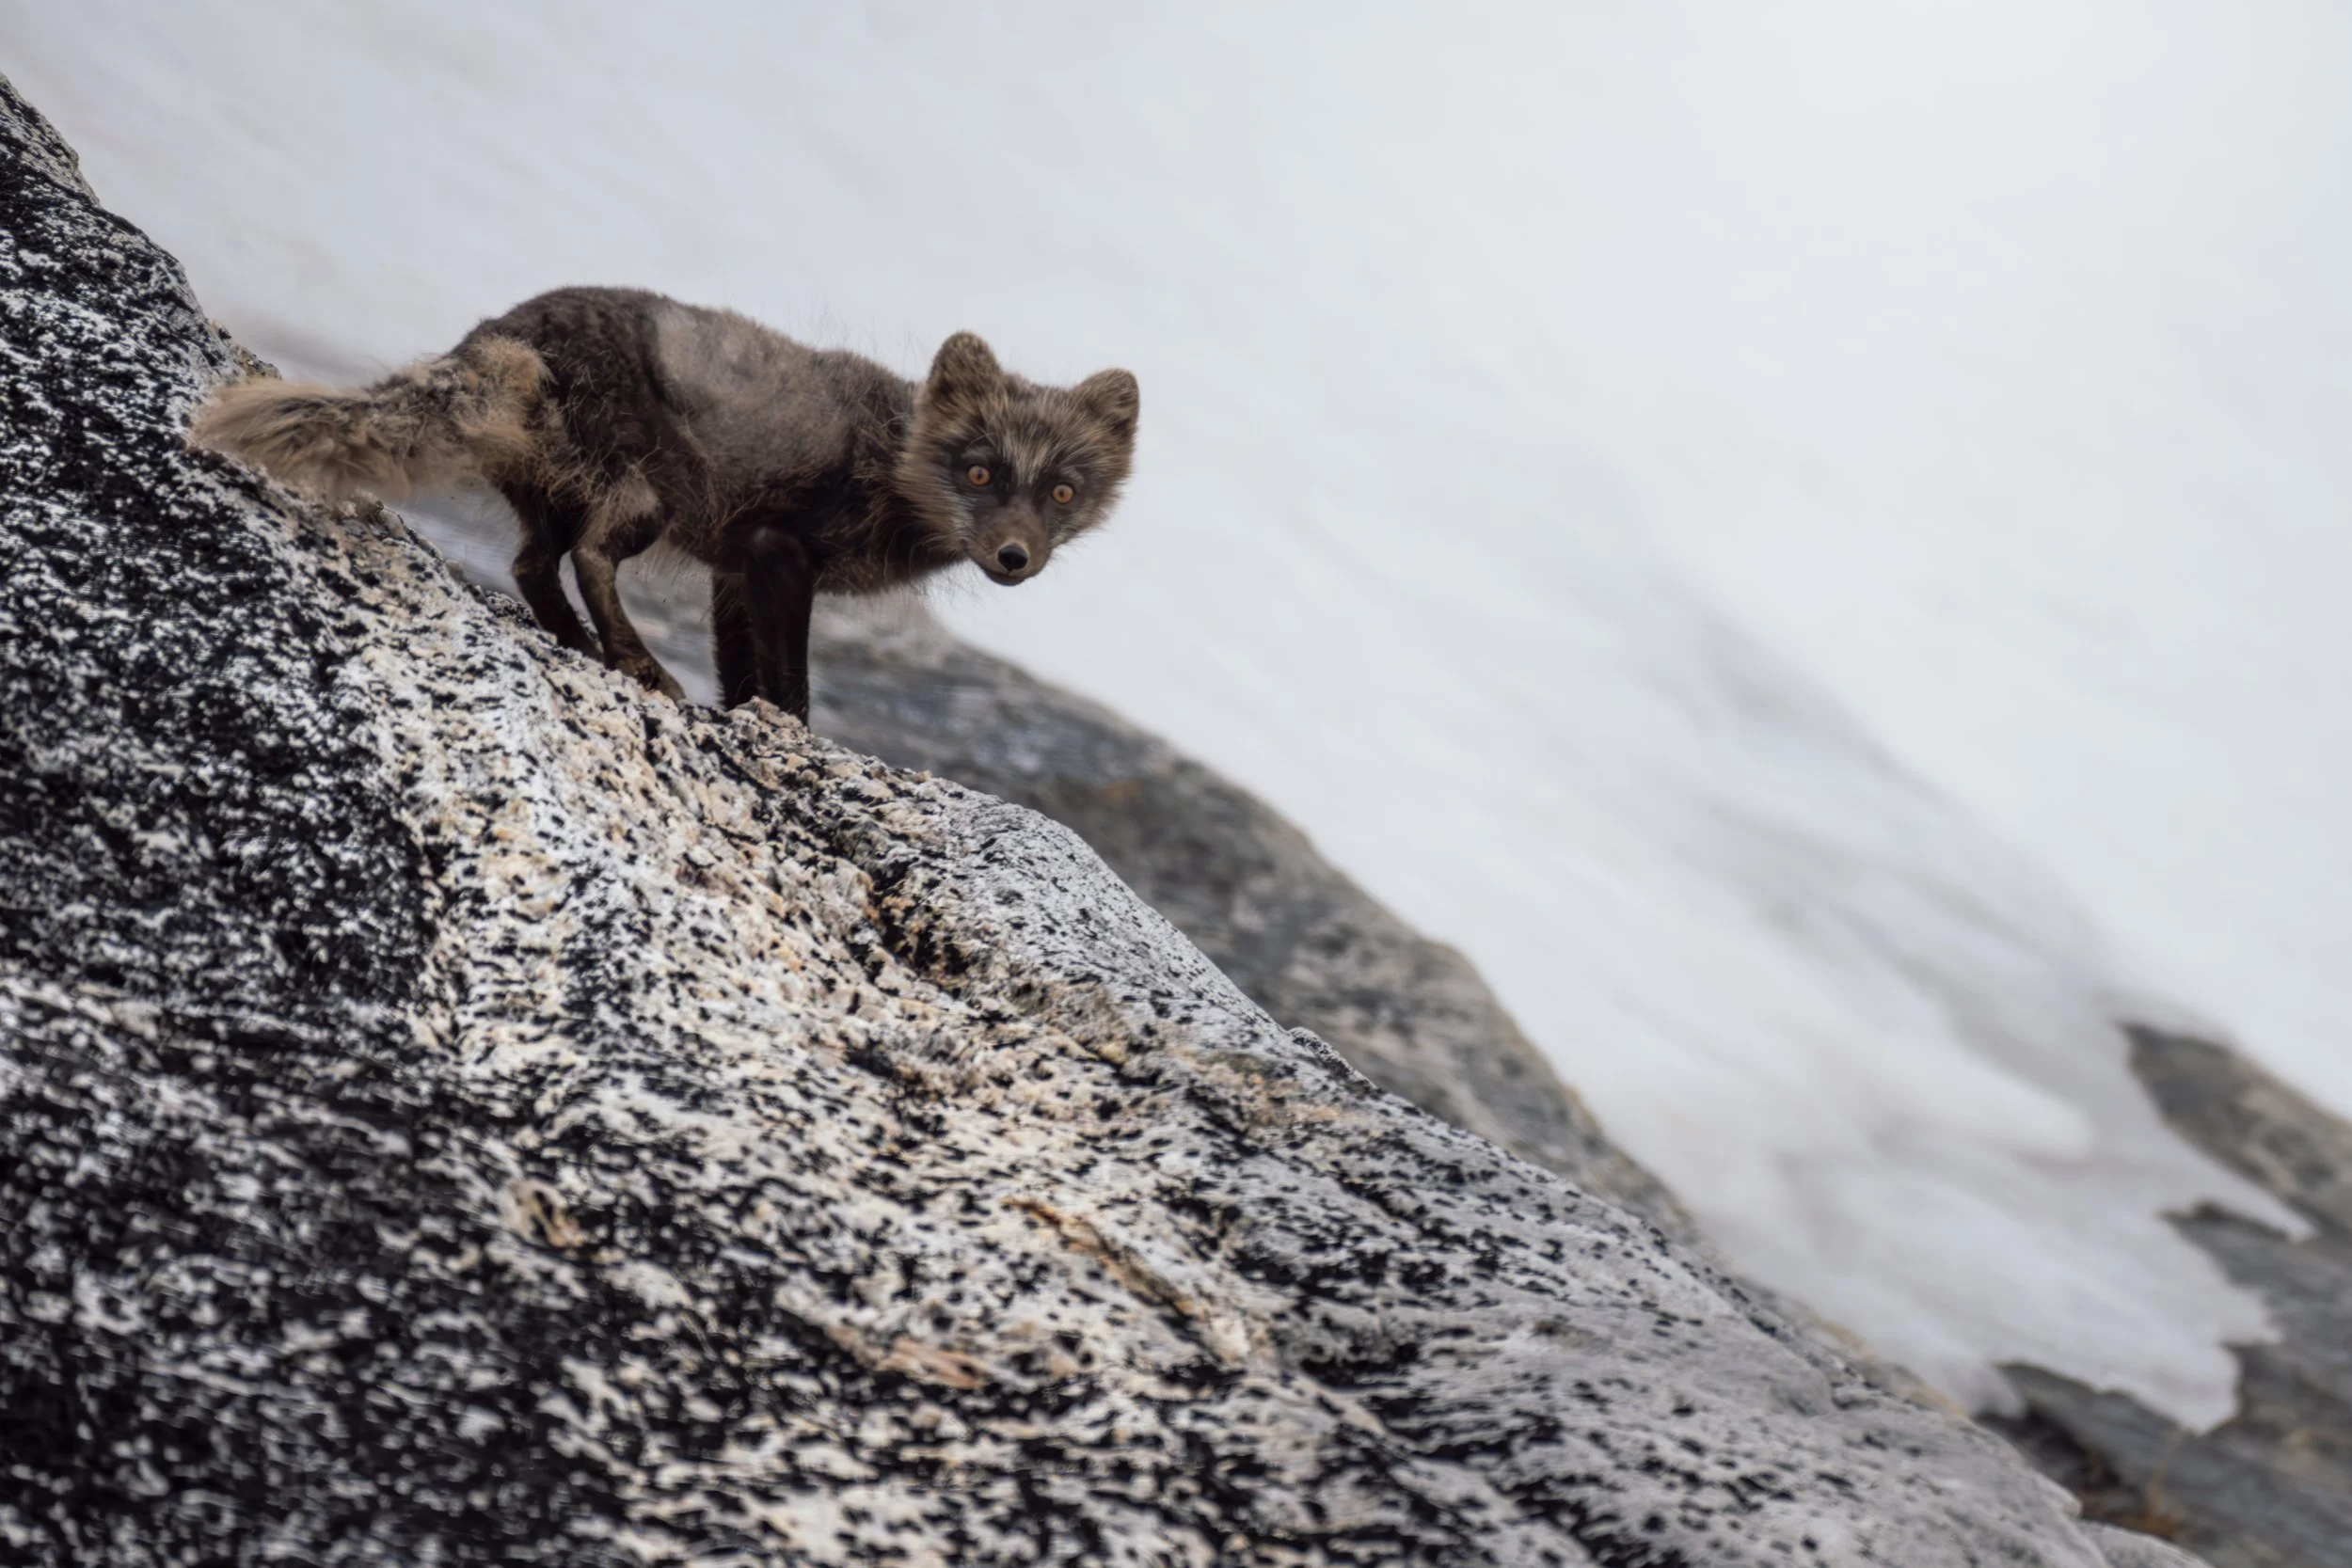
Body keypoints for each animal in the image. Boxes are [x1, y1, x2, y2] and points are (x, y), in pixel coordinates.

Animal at [188, 287, 1140, 720]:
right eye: (978, 473)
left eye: (1062, 492)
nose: (1014, 557)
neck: (893, 457)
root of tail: (501, 336)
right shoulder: (776, 549)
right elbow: (789, 687)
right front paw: (785, 734)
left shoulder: (734, 570)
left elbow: (743, 671)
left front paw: (739, 720)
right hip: (641, 492)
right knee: (589, 558)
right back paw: (636, 661)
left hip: (555, 492)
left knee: (533, 563)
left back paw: (580, 646)